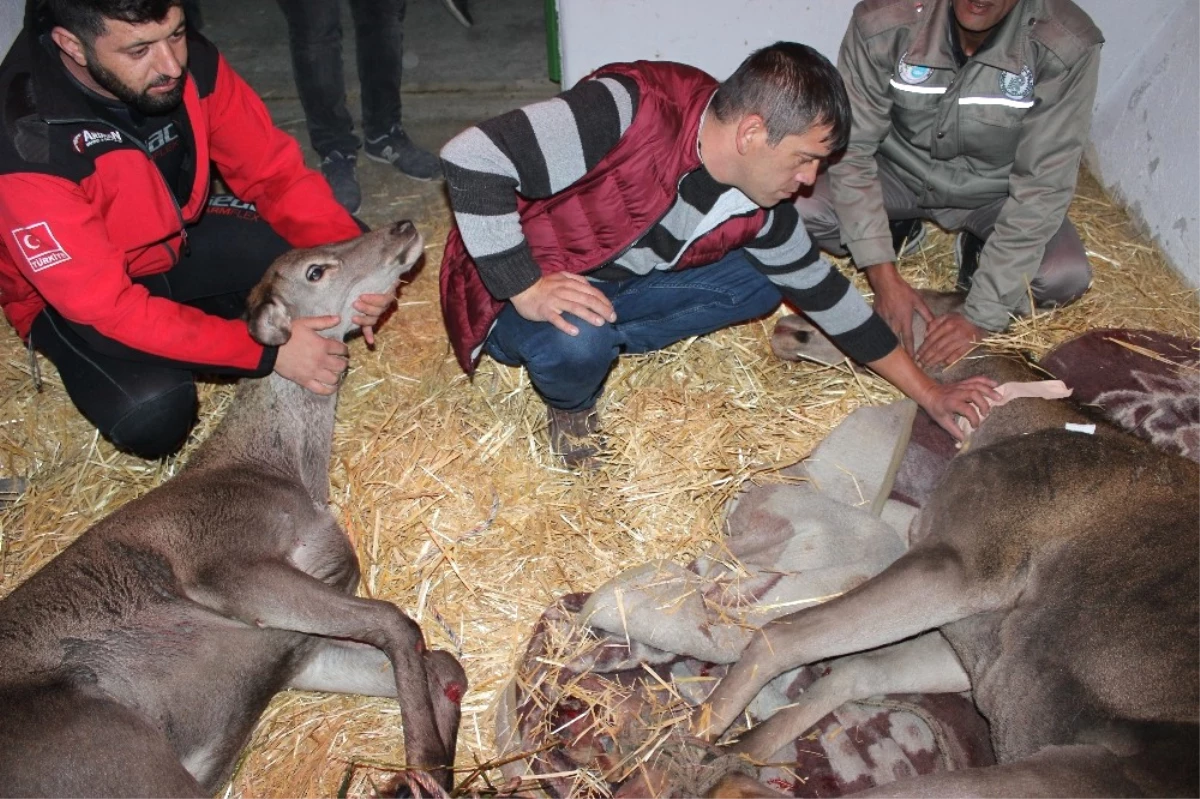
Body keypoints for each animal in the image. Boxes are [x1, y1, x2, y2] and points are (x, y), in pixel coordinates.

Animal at [0, 219, 463, 796]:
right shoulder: (224, 561)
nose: (402, 226)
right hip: (110, 747)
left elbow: (442, 664)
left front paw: (427, 772)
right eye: (315, 271)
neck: (285, 472)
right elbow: (397, 621)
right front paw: (421, 765)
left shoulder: (297, 652)